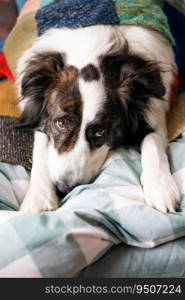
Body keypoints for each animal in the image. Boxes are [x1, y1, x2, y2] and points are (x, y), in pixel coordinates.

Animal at [15, 1, 179, 216]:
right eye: (60, 123)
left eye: (101, 131)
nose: (65, 187)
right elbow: (41, 151)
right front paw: (38, 198)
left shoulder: (154, 109)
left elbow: (154, 143)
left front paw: (161, 188)